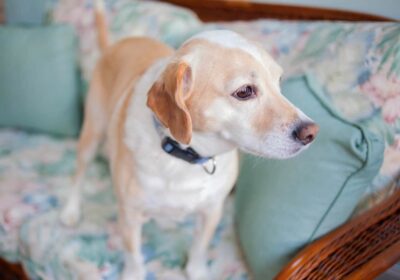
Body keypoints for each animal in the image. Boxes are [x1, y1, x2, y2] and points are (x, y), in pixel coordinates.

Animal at [59, 1, 318, 278]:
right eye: (244, 92)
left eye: (279, 82)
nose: (311, 132)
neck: (186, 158)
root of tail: (117, 44)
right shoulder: (129, 216)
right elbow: (134, 257)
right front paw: (134, 273)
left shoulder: (212, 211)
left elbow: (199, 249)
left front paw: (197, 270)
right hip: (92, 132)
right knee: (78, 174)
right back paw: (70, 210)